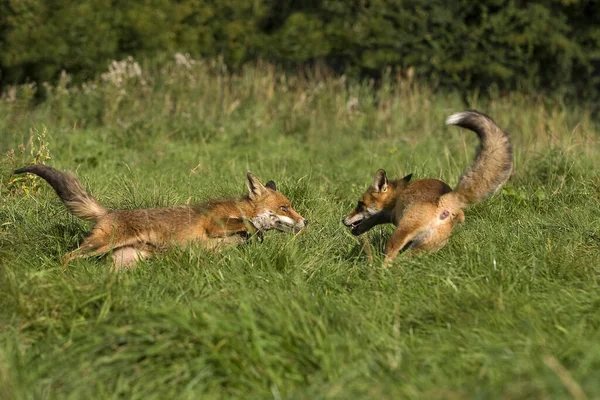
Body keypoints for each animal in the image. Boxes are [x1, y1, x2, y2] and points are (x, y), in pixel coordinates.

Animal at [14, 166, 310, 268]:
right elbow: (245, 224)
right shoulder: (214, 223)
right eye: (285, 208)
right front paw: (254, 230)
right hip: (98, 246)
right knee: (66, 256)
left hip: (126, 262)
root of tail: (110, 212)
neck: (239, 207)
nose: (306, 221)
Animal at [342, 111, 510, 264]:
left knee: (391, 259)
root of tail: (445, 199)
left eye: (360, 204)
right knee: (403, 262)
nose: (343, 220)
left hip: (401, 235)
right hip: (424, 248)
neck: (399, 195)